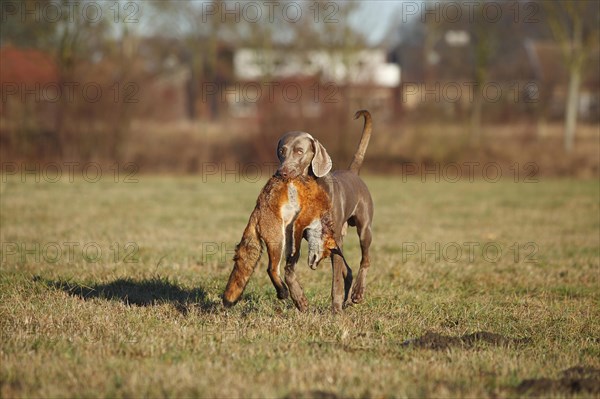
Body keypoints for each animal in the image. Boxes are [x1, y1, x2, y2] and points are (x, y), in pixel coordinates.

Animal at [221, 176, 344, 312]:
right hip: (278, 241)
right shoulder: (301, 221)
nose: (314, 267)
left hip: (282, 236)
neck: (322, 215)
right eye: (325, 254)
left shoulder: (291, 229)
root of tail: (257, 210)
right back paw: (282, 292)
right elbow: (296, 245)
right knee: (271, 269)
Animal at [278, 111, 372, 314]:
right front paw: (300, 300)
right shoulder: (295, 237)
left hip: (364, 229)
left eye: (299, 151)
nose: (282, 173)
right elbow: (288, 271)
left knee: (365, 260)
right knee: (347, 269)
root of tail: (353, 173)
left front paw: (335, 310)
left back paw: (357, 293)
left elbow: (335, 282)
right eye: (282, 151)